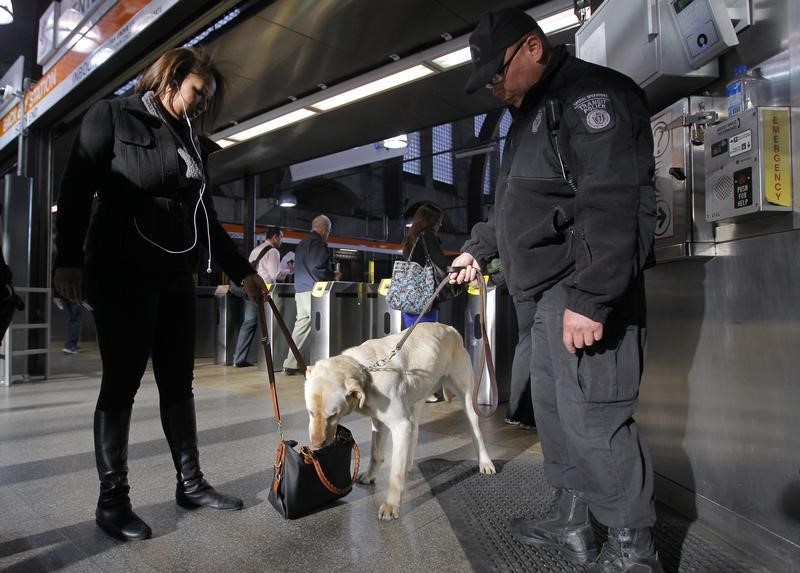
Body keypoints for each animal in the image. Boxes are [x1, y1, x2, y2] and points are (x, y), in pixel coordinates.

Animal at [304, 322, 494, 520]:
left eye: (333, 415)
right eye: (310, 412)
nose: (316, 444)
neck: (367, 374)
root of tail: (451, 329)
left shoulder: (400, 425)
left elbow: (395, 472)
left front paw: (391, 505)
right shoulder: (379, 423)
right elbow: (375, 453)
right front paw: (370, 476)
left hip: (467, 399)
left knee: (477, 433)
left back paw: (485, 462)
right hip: (416, 401)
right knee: (415, 432)